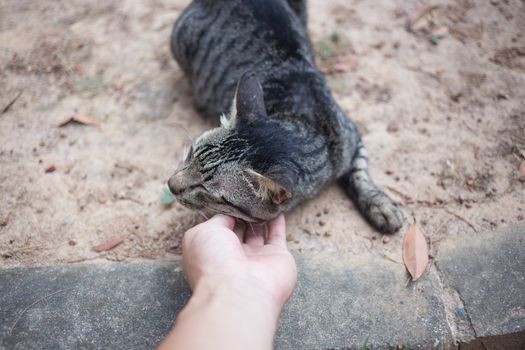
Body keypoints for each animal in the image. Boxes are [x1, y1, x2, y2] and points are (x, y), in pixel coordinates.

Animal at [168, 0, 402, 232]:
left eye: (203, 188)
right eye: (191, 153)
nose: (170, 184)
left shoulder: (352, 135)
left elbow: (360, 173)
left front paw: (380, 204)